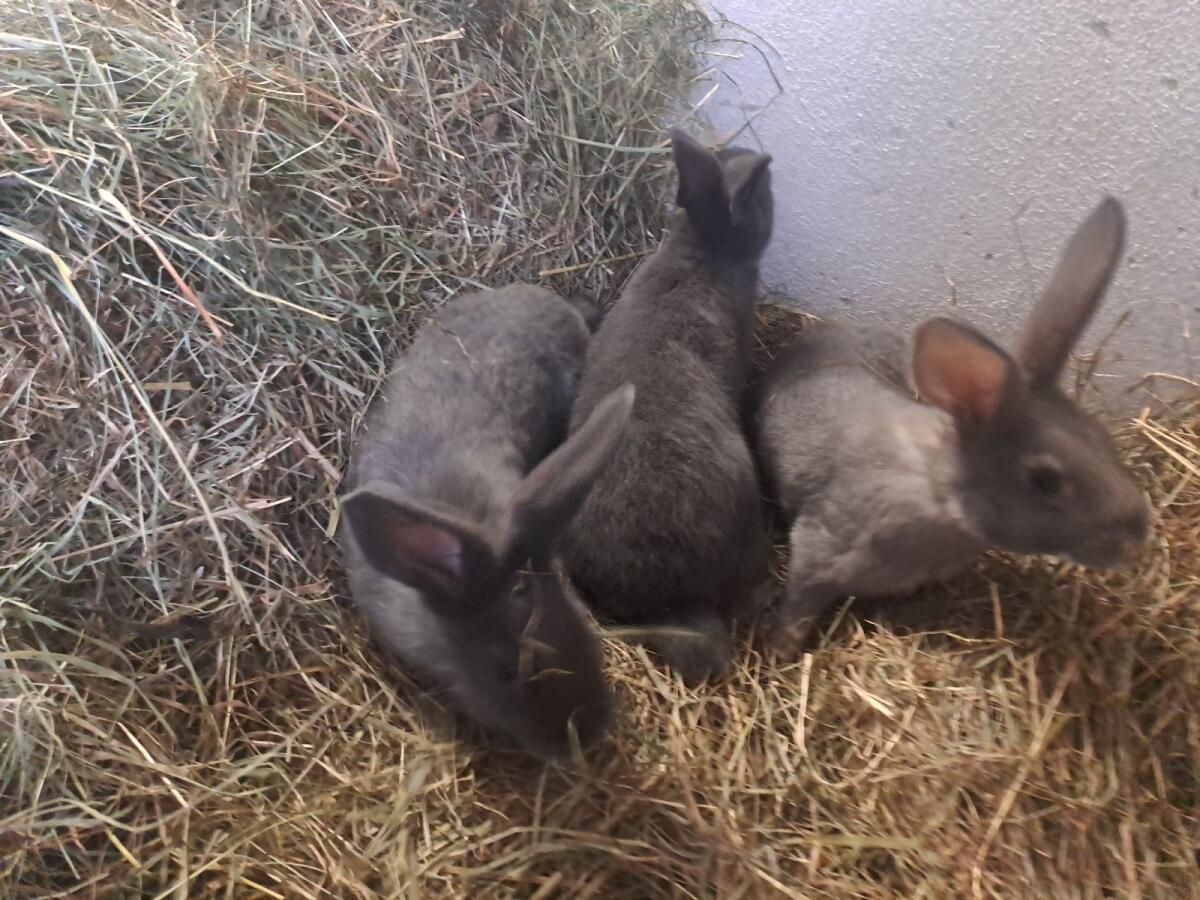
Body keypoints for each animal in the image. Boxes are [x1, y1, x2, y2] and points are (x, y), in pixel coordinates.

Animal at [753, 196, 1152, 652]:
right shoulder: (816, 553)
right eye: (1045, 480)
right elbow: (797, 609)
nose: (1138, 535)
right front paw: (779, 650)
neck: (936, 496)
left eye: (1104, 441)